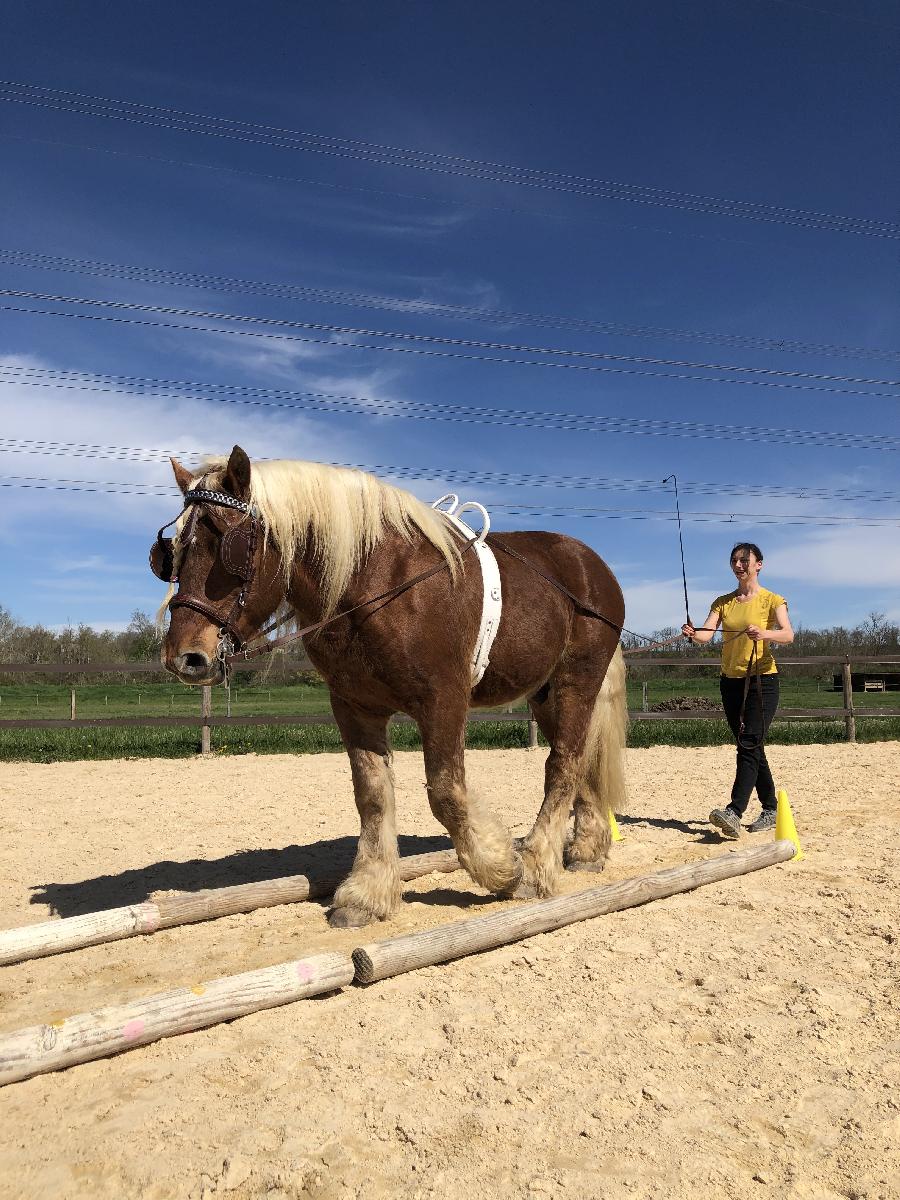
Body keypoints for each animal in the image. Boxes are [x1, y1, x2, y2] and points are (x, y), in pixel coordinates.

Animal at [153, 446, 628, 921]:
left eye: (228, 545)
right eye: (171, 551)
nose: (185, 658)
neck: (375, 583)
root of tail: (593, 566)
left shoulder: (444, 699)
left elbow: (446, 792)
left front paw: (502, 867)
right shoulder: (354, 705)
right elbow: (373, 796)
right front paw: (367, 892)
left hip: (576, 682)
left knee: (563, 764)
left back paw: (537, 866)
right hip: (544, 696)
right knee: (581, 758)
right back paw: (587, 849)